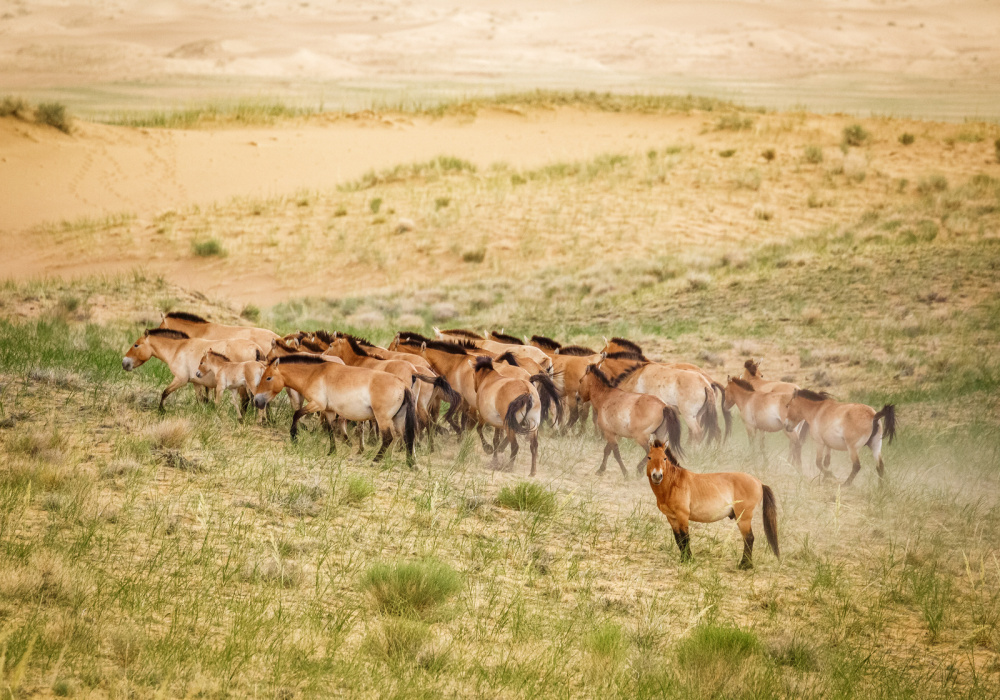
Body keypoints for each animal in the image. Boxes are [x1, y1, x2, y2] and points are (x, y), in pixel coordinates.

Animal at [121, 330, 264, 410]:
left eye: (136, 345)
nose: (124, 363)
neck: (178, 349)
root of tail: (256, 348)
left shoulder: (181, 379)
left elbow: (165, 392)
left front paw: (161, 410)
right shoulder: (196, 382)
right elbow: (202, 400)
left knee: (245, 400)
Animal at [256, 358, 420, 468]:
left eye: (268, 377)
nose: (257, 401)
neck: (314, 374)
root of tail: (403, 384)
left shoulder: (316, 404)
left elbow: (296, 414)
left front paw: (294, 437)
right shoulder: (328, 411)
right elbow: (330, 430)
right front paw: (332, 451)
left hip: (383, 419)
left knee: (388, 437)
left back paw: (377, 459)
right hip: (397, 419)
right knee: (403, 437)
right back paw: (405, 461)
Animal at [596, 338, 732, 438]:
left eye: (601, 353)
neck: (638, 371)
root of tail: (707, 382)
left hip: (690, 416)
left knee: (698, 433)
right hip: (699, 415)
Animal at [648, 442, 780, 568]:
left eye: (664, 458)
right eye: (649, 457)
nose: (657, 476)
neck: (674, 483)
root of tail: (759, 482)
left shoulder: (682, 516)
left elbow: (685, 538)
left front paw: (689, 560)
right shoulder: (671, 517)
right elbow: (679, 539)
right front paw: (683, 559)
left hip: (744, 518)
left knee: (749, 538)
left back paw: (745, 565)